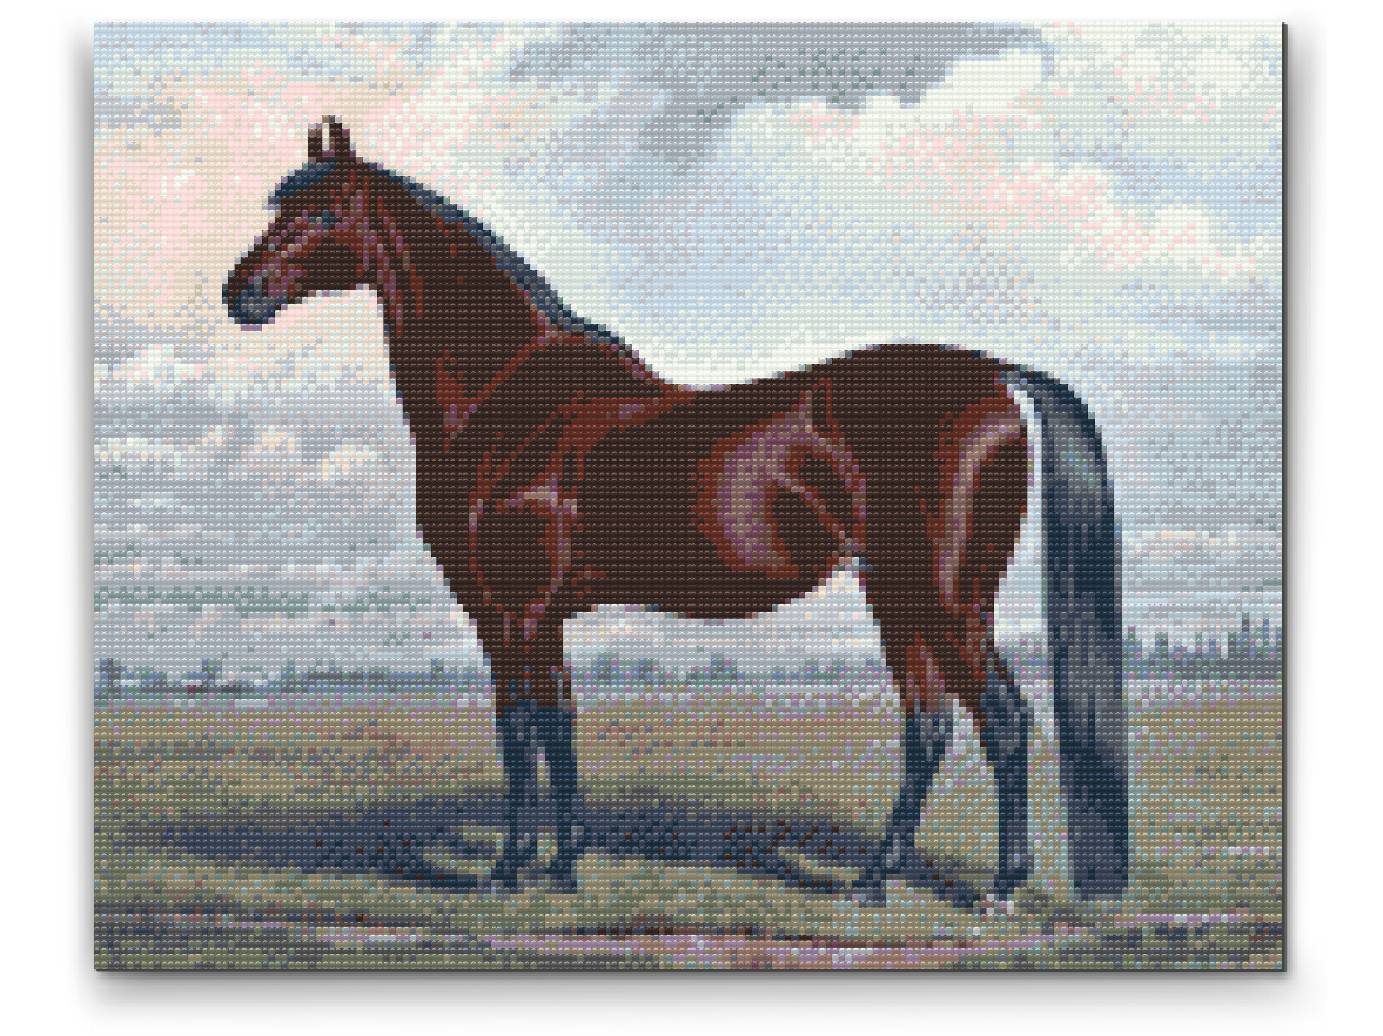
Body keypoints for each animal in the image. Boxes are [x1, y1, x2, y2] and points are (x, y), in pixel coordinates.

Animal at [224, 119, 1128, 907]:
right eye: (276, 205)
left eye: (323, 211)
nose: (241, 294)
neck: (509, 395)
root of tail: (995, 373)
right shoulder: (539, 614)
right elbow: (558, 724)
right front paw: (562, 867)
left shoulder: (507, 609)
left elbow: (519, 730)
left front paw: (509, 871)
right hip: (894, 596)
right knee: (928, 727)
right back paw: (870, 882)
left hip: (944, 599)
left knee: (1002, 721)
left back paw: (999, 888)